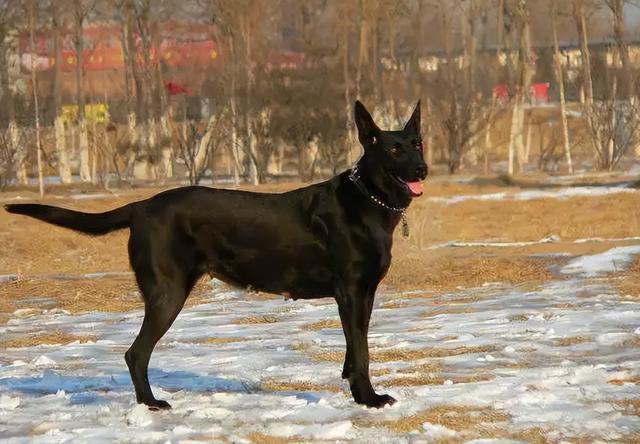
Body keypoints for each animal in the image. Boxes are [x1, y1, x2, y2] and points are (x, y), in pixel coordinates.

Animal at [5, 100, 428, 410]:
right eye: (393, 148)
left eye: (417, 144)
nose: (423, 168)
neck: (368, 200)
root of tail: (141, 206)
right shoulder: (352, 291)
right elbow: (362, 350)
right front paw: (370, 399)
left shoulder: (363, 294)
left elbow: (353, 350)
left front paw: (356, 392)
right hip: (168, 293)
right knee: (135, 353)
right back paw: (152, 403)